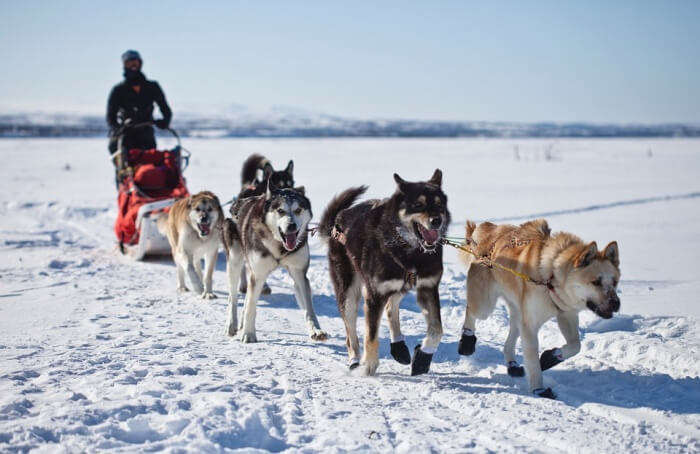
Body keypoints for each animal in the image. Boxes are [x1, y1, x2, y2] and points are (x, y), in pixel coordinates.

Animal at [221, 179, 328, 342]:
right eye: (280, 211)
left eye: (298, 210)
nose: (291, 226)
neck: (279, 246)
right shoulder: (258, 274)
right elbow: (251, 306)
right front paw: (249, 334)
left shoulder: (299, 274)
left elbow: (309, 308)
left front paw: (316, 330)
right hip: (234, 262)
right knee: (232, 298)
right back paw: (231, 324)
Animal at [320, 170, 452, 376]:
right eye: (418, 204)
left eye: (439, 204)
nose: (437, 221)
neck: (410, 252)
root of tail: (338, 220)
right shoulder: (375, 295)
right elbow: (371, 335)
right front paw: (369, 366)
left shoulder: (427, 287)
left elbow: (437, 329)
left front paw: (423, 357)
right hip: (349, 293)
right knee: (351, 333)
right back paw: (355, 360)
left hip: (402, 285)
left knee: (391, 307)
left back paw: (399, 347)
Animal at [460, 218, 624, 400]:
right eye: (596, 282)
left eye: (615, 282)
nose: (616, 303)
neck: (551, 277)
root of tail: (488, 230)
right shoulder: (530, 325)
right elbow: (532, 360)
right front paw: (538, 389)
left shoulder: (566, 315)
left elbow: (576, 345)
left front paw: (550, 357)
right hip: (485, 306)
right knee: (471, 311)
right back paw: (466, 340)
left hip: (518, 313)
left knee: (510, 338)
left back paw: (512, 364)